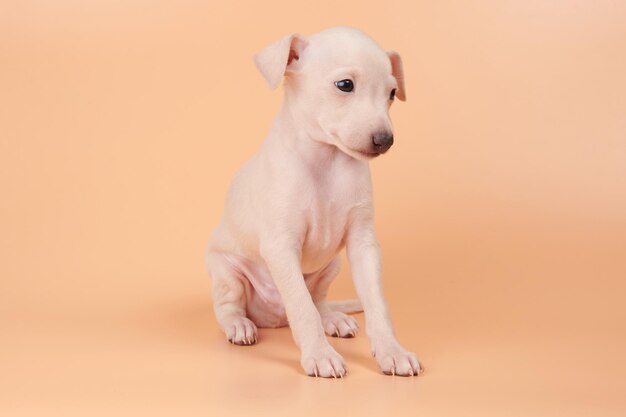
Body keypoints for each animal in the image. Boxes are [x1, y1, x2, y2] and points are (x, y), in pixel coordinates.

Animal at [207, 26, 422, 376]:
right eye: (345, 85)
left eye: (391, 93)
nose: (385, 140)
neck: (327, 160)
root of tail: (273, 319)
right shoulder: (280, 247)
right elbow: (302, 308)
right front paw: (320, 356)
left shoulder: (363, 244)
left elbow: (377, 304)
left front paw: (393, 351)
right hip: (226, 271)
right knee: (229, 306)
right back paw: (238, 325)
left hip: (330, 266)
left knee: (318, 302)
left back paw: (333, 319)